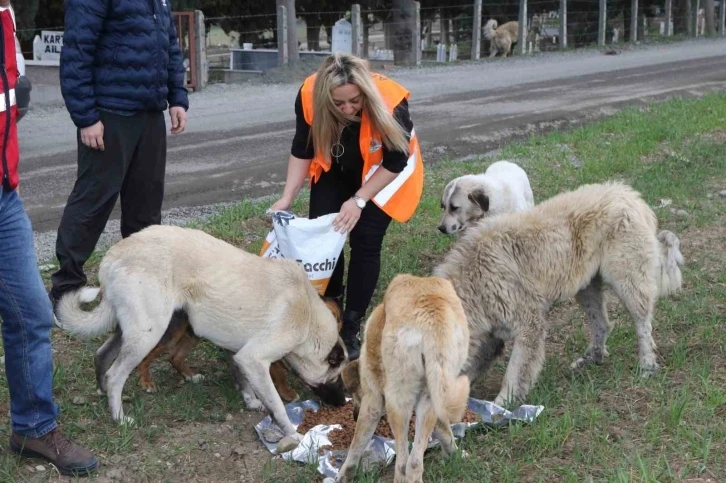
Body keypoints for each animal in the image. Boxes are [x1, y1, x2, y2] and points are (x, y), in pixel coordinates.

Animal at [58, 227, 348, 438]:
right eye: (335, 377)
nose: (343, 404)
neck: (308, 316)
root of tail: (112, 257)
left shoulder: (239, 353)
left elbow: (241, 378)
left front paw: (250, 400)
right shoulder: (254, 359)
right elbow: (276, 404)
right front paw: (292, 433)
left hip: (134, 329)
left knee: (101, 355)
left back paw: (102, 393)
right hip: (148, 334)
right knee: (115, 374)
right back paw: (119, 417)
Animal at [336, 276, 470, 483]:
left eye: (355, 395)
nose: (354, 416)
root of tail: (431, 317)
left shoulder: (372, 401)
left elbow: (357, 444)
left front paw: (345, 473)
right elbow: (444, 430)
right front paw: (455, 454)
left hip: (396, 402)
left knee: (402, 462)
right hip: (431, 397)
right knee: (414, 462)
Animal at [436, 182, 684, 408]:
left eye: (454, 207)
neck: (474, 279)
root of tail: (630, 195)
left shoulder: (529, 327)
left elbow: (514, 373)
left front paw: (501, 405)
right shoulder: (490, 335)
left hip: (628, 282)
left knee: (643, 326)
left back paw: (647, 365)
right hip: (586, 288)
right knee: (602, 325)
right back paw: (592, 359)